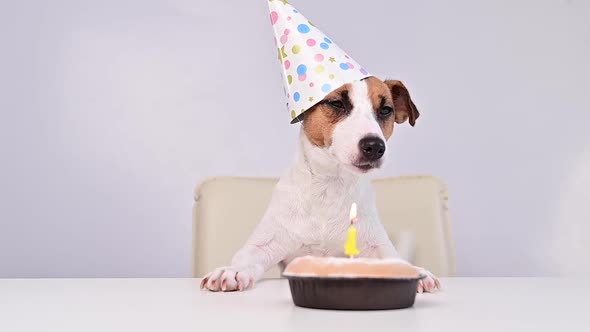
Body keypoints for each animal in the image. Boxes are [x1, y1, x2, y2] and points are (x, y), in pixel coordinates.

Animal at [201, 76, 442, 294]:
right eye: (337, 103)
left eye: (385, 110)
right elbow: (246, 257)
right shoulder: (265, 244)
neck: (329, 187)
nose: (375, 146)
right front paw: (231, 271)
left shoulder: (375, 245)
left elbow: (393, 258)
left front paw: (415, 271)